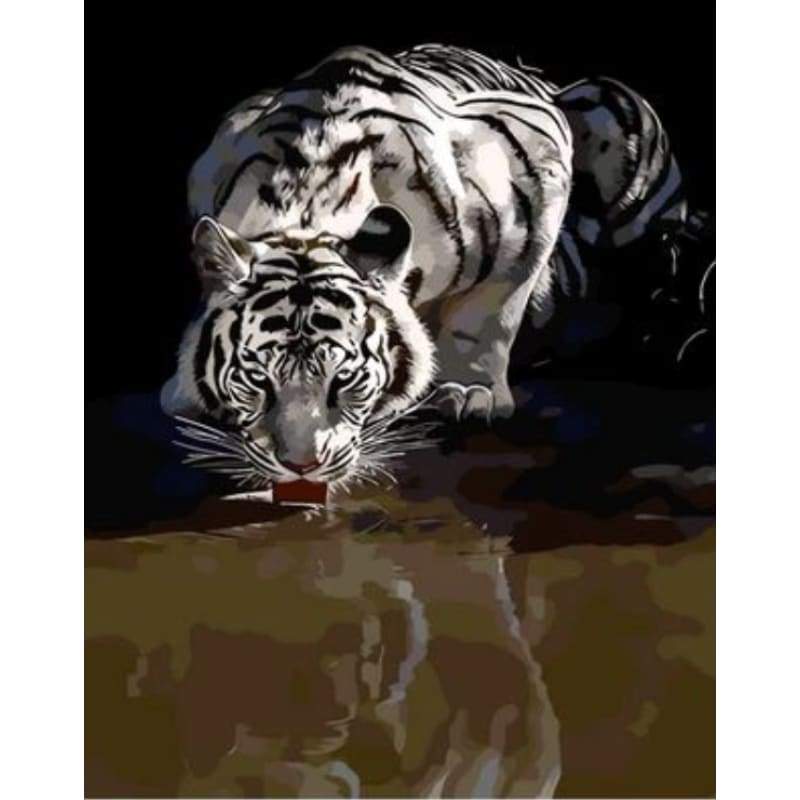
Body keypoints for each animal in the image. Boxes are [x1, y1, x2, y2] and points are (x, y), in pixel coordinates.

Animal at [161, 44, 686, 490]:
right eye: (257, 379)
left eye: (344, 379)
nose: (301, 466)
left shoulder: (537, 165)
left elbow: (489, 314)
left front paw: (470, 391)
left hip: (608, 108)